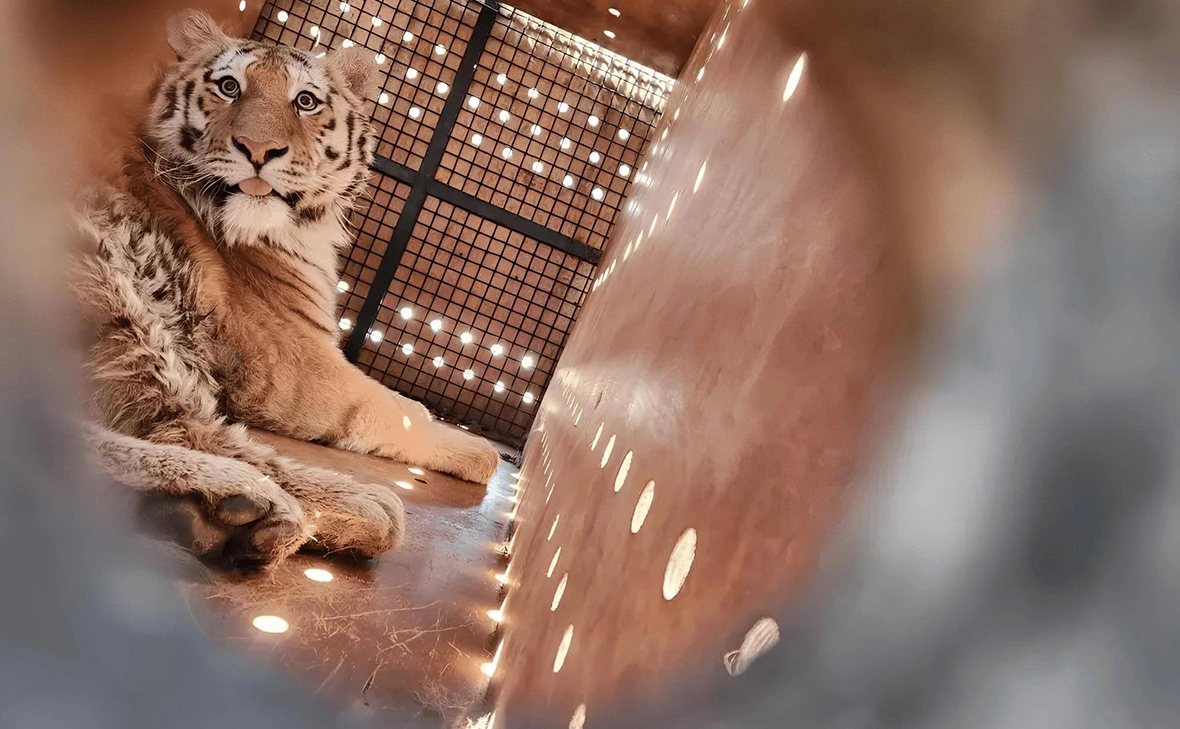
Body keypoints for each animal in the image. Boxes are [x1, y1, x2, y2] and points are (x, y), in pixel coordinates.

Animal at [74, 10, 501, 568]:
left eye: (305, 101)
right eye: (229, 87)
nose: (258, 150)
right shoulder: (292, 360)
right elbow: (399, 409)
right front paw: (481, 453)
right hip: (121, 291)